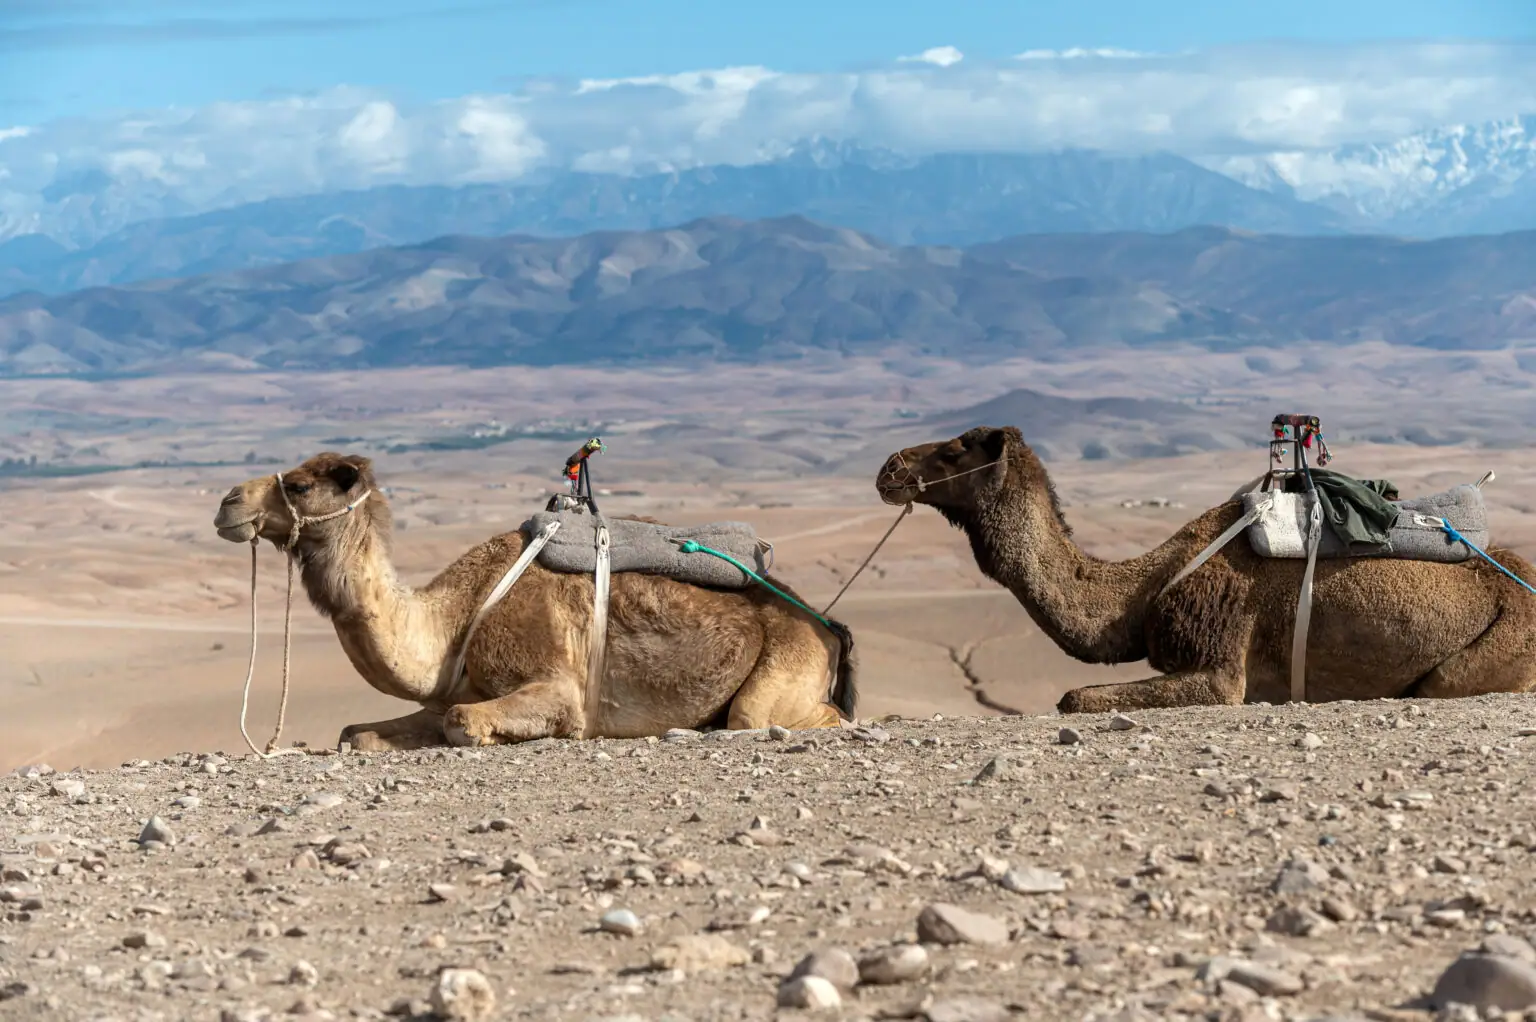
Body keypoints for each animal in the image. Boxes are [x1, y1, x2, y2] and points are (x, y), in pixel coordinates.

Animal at [212, 452, 856, 751]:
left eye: (299, 485)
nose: (226, 503)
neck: (456, 617)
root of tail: (826, 627)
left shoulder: (557, 684)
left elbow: (465, 722)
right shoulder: (457, 686)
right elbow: (356, 732)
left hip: (785, 666)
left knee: (786, 717)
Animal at [875, 426, 1536, 713]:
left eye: (955, 448)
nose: (889, 468)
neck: (1142, 590)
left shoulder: (1221, 663)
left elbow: (1071, 696)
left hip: (1488, 654)